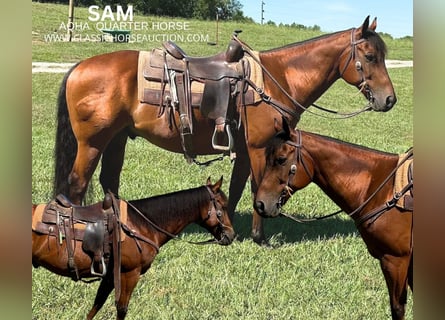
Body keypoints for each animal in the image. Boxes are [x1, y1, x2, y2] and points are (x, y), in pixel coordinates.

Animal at [32, 176, 234, 318]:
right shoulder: (130, 273)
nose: (231, 235)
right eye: (223, 207)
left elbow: (97, 304)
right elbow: (121, 308)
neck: (141, 224)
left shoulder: (110, 276)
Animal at [52, 16, 396, 244]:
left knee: (108, 181)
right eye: (369, 56)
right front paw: (259, 237)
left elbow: (236, 187)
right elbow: (258, 186)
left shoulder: (244, 150)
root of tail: (79, 67)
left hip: (117, 139)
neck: (277, 80)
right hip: (93, 143)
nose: (389, 99)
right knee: (77, 183)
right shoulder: (259, 147)